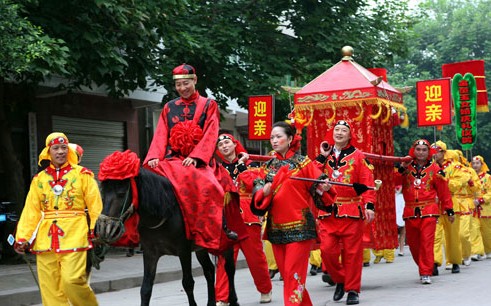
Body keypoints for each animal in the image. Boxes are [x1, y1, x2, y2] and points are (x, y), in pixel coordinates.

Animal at [95, 167, 238, 306]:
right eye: (103, 192)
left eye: (122, 194)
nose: (103, 228)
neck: (164, 212)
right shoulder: (150, 253)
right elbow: (145, 289)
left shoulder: (184, 251)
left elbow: (188, 283)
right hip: (201, 248)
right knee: (209, 270)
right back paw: (211, 302)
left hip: (225, 242)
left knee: (229, 268)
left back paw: (234, 300)